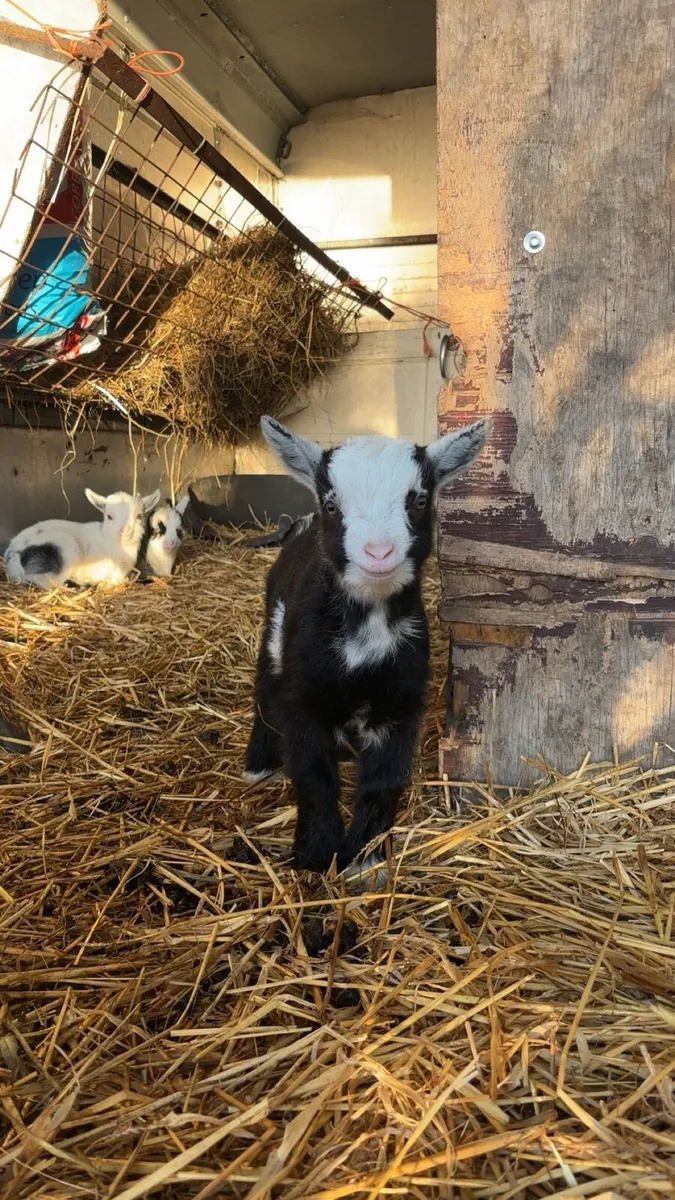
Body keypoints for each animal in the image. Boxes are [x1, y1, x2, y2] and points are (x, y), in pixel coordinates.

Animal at [3, 488, 160, 589]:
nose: (126, 531)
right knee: (45, 581)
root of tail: (14, 552)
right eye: (109, 516)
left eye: (139, 516)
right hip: (64, 550)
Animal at [244, 415, 490, 881]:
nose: (378, 552)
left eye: (419, 499)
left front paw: (366, 859)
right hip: (274, 631)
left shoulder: (399, 702)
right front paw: (316, 853)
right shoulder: (303, 698)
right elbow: (314, 775)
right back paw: (259, 761)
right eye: (333, 505)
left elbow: (382, 779)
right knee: (265, 685)